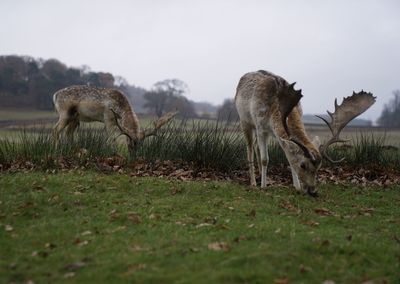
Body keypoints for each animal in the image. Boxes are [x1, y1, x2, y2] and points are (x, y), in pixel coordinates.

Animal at [234, 70, 376, 196]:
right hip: (245, 121)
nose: (313, 191)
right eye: (303, 165)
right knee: (250, 149)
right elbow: (265, 159)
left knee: (256, 147)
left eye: (319, 167)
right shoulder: (260, 127)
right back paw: (254, 182)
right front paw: (264, 187)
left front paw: (296, 187)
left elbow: (289, 158)